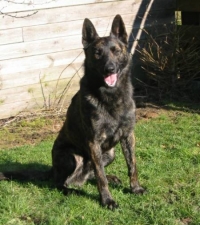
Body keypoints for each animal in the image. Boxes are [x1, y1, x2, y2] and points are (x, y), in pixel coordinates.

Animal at [0, 15, 145, 209]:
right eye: (97, 53)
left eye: (116, 51)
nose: (110, 69)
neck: (111, 96)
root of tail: (52, 169)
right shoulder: (93, 142)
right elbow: (100, 177)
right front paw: (107, 200)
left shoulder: (128, 135)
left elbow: (132, 166)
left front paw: (135, 188)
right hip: (72, 156)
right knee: (60, 182)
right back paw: (69, 190)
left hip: (109, 154)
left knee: (89, 174)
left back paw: (108, 178)